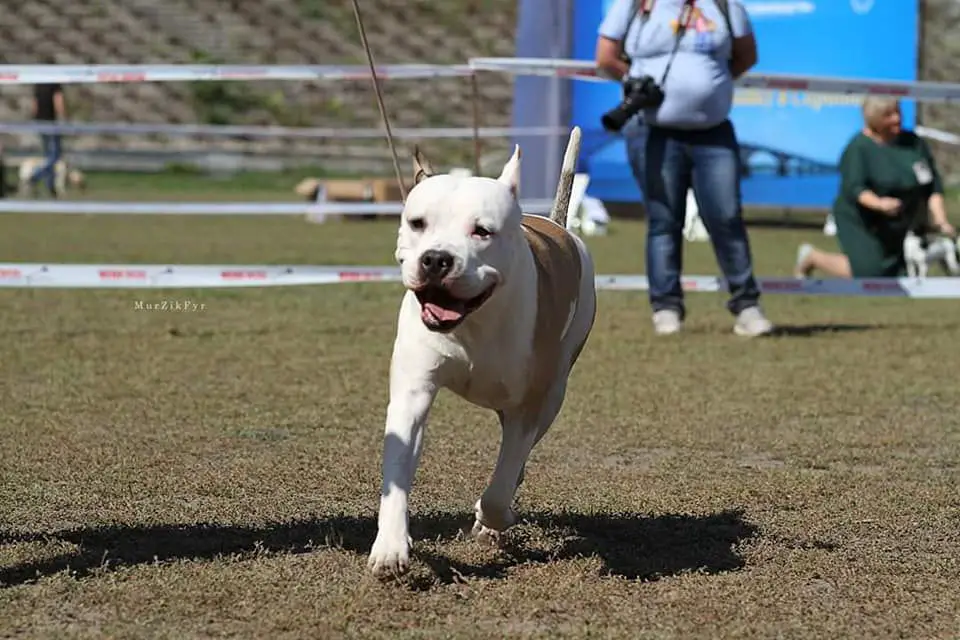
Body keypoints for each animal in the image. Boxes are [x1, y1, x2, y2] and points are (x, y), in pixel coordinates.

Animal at [366, 127, 592, 576]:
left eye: (482, 231)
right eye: (417, 223)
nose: (436, 259)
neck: (475, 321)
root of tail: (555, 224)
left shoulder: (528, 406)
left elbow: (499, 489)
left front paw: (492, 520)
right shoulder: (412, 393)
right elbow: (397, 470)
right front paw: (391, 547)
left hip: (554, 391)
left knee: (517, 459)